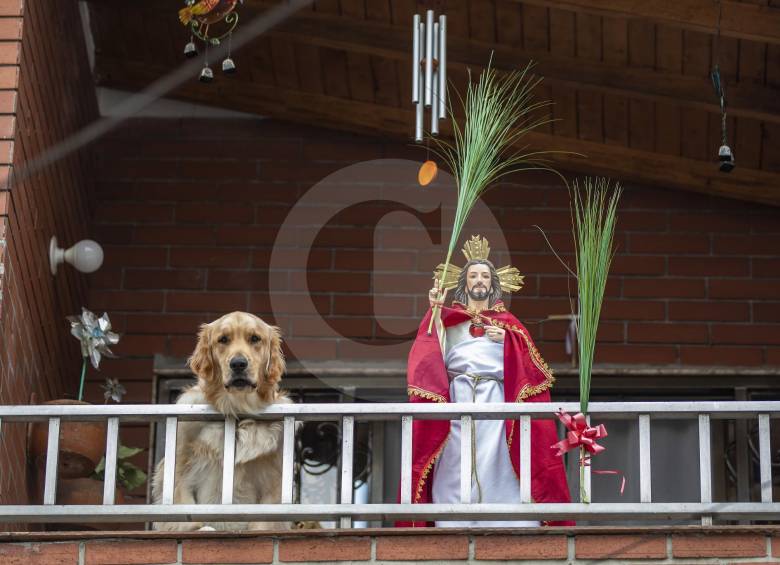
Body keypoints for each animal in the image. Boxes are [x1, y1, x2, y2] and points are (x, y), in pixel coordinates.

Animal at [152, 310, 292, 532]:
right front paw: (198, 529)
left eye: (255, 338)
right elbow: (182, 504)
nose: (238, 364)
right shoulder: (179, 463)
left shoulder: (274, 476)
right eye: (223, 339)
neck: (236, 407)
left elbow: (263, 520)